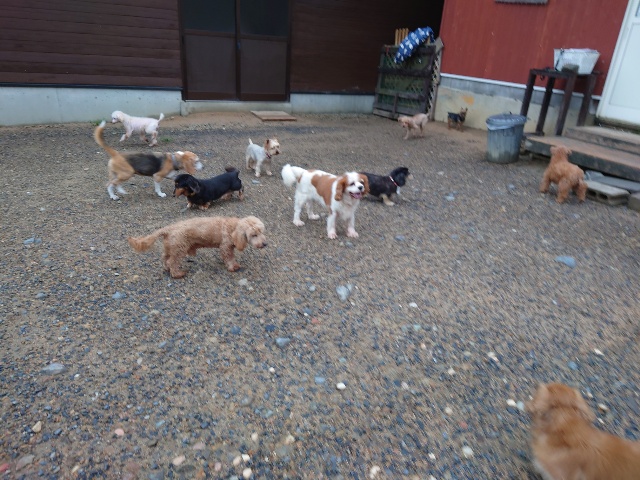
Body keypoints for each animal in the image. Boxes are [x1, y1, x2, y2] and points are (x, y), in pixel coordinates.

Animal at [127, 216, 267, 278]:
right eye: (254, 235)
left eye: (261, 232)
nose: (265, 244)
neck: (232, 227)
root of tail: (168, 228)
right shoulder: (225, 246)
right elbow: (230, 258)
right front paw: (233, 267)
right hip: (179, 249)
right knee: (173, 262)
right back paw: (177, 274)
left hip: (170, 247)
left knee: (165, 259)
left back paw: (167, 268)